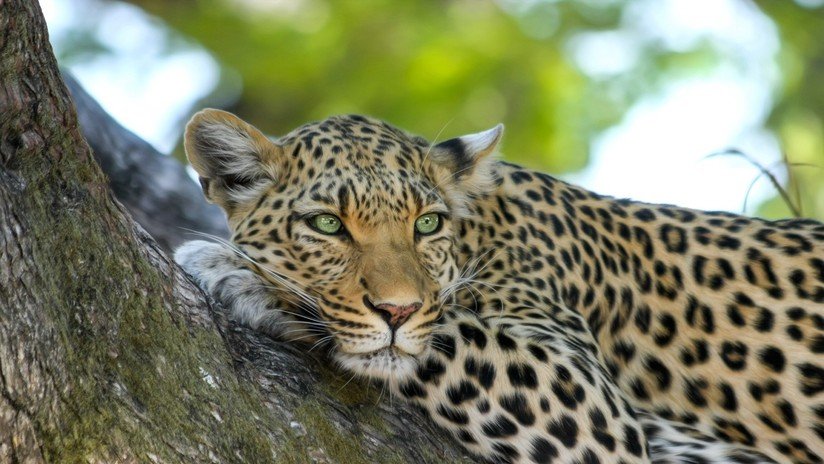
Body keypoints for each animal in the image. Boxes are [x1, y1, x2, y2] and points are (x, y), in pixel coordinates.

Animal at [175, 108, 824, 464]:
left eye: (426, 224)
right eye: (328, 225)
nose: (396, 311)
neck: (481, 231)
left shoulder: (589, 404)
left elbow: (449, 332)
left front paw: (240, 273)